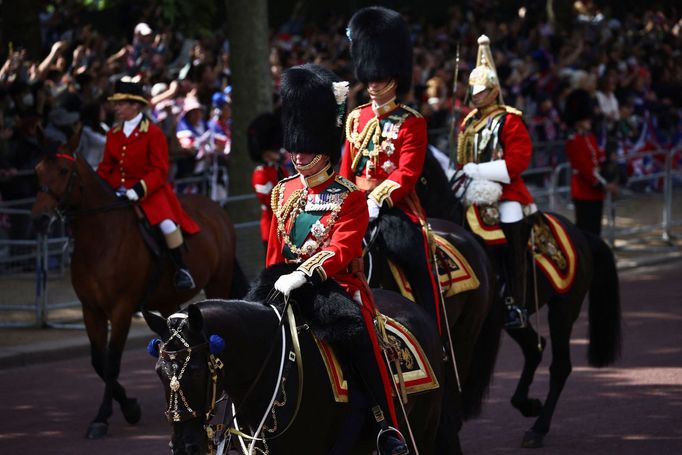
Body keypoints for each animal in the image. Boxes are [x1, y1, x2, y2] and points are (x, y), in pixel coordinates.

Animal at [30, 148, 247, 440]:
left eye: (64, 171)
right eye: (38, 170)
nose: (39, 219)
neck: (99, 239)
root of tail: (216, 208)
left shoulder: (121, 309)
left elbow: (111, 362)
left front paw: (103, 417)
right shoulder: (91, 309)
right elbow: (99, 361)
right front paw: (130, 407)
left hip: (217, 282)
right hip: (168, 302)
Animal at [414, 152, 620, 448]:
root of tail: (580, 233)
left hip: (563, 310)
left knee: (560, 366)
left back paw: (538, 428)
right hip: (516, 321)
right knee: (535, 348)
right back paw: (526, 405)